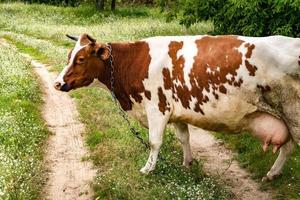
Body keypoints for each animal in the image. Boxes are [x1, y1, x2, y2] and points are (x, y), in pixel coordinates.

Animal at [54, 33, 300, 180]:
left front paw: (148, 168)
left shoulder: (156, 107)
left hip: (294, 116)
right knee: (288, 147)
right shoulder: (178, 111)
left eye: (81, 59)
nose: (57, 83)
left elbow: (154, 142)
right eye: (69, 56)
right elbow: (184, 138)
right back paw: (273, 173)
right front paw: (187, 163)